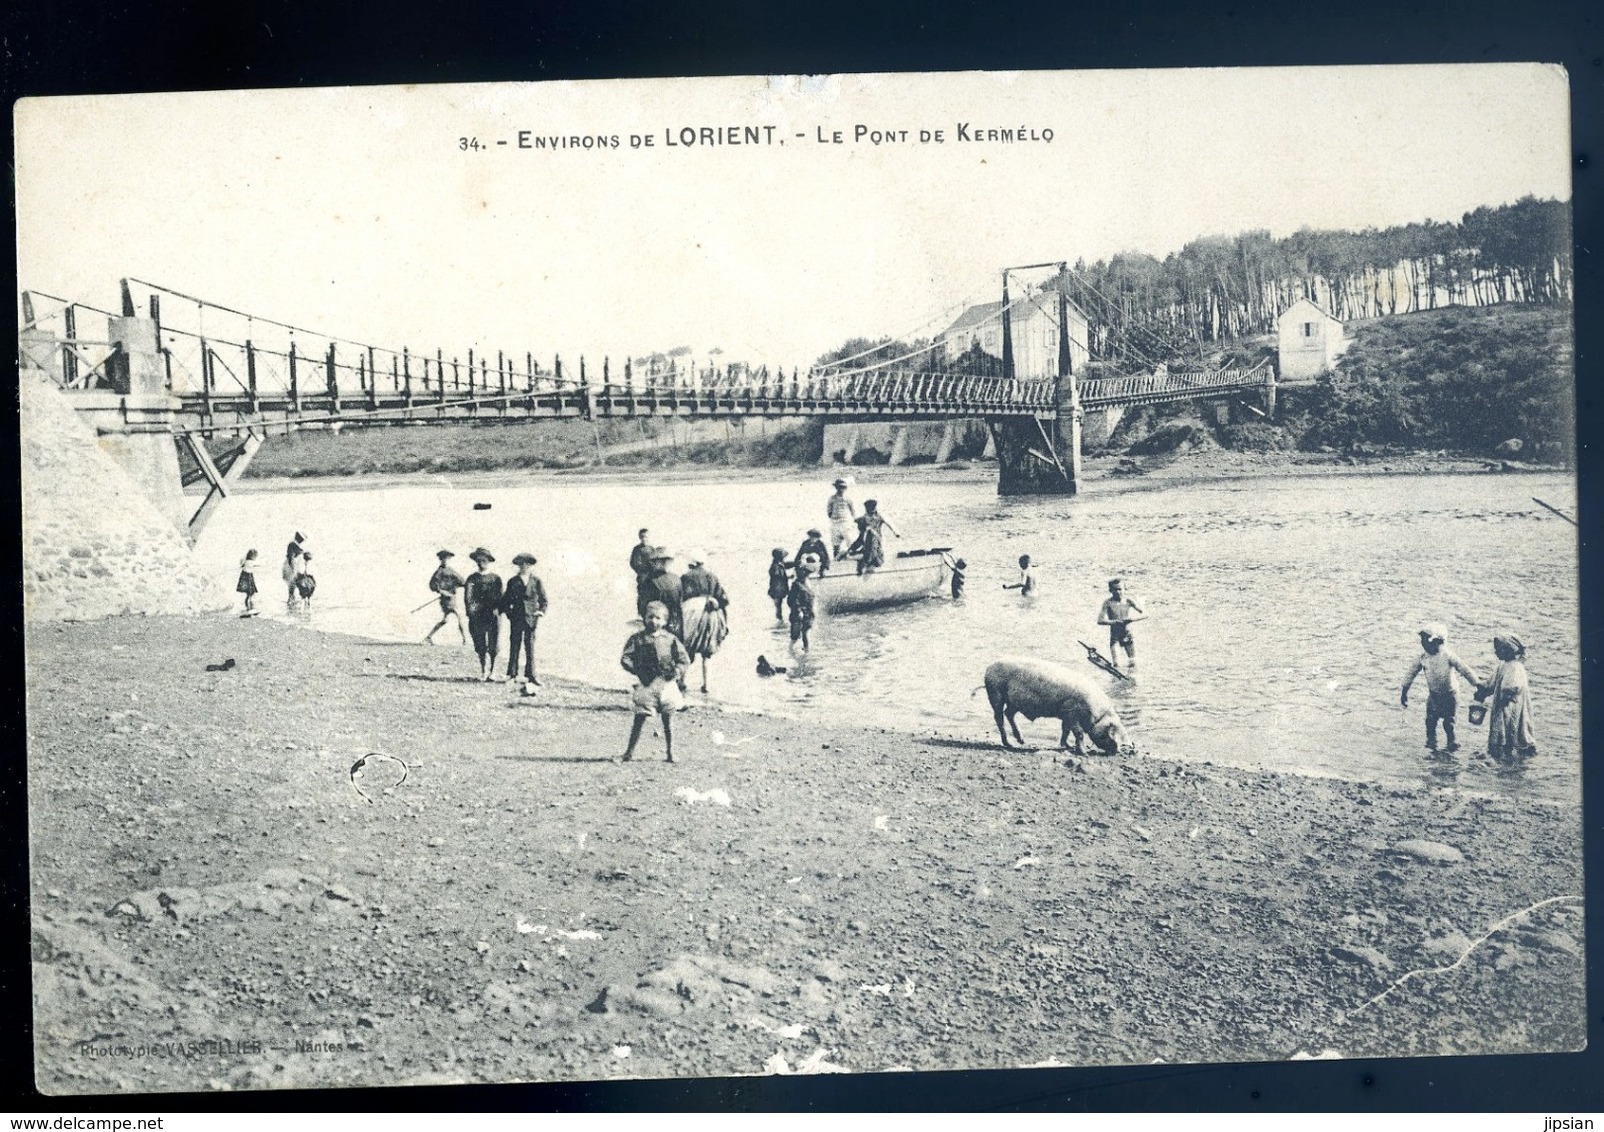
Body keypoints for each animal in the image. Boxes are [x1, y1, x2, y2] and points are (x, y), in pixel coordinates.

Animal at [981, 657, 1135, 753]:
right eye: (1110, 736)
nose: (1116, 751)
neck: (1097, 716)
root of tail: (989, 667)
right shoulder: (1071, 712)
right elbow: (1078, 733)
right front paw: (1083, 753)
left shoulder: (1066, 714)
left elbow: (1065, 730)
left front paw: (1067, 746)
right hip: (995, 693)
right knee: (999, 717)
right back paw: (1009, 744)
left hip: (1014, 702)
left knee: (1009, 714)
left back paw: (1021, 741)